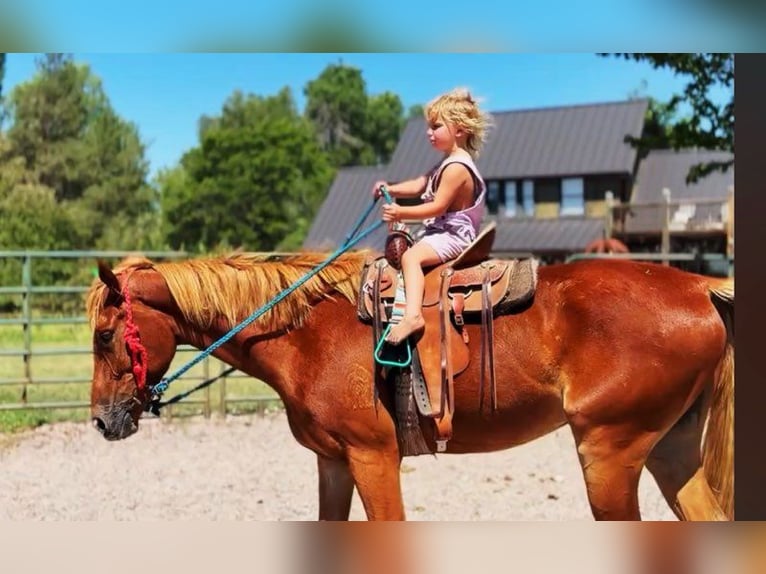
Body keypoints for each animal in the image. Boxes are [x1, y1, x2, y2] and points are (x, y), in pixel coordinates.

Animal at [86, 250, 734, 521]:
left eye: (103, 335)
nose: (99, 421)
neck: (309, 334)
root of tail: (700, 287)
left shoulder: (375, 459)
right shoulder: (334, 463)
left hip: (609, 456)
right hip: (670, 451)